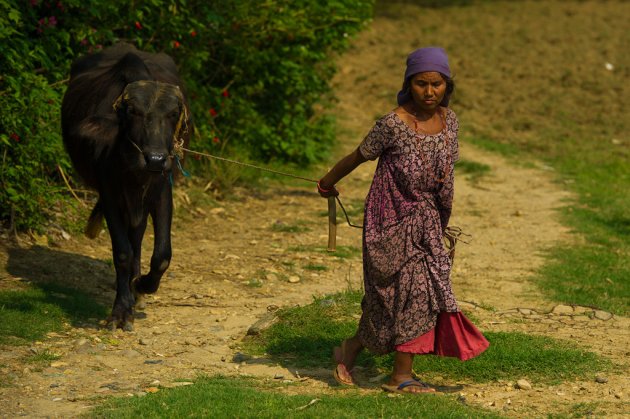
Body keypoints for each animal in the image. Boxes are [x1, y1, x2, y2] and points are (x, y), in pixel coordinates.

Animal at [64, 43, 194, 332]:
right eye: (133, 111)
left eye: (172, 113)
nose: (155, 158)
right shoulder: (110, 193)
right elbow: (122, 252)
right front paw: (121, 310)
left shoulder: (161, 190)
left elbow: (162, 254)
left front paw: (142, 285)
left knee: (138, 234)